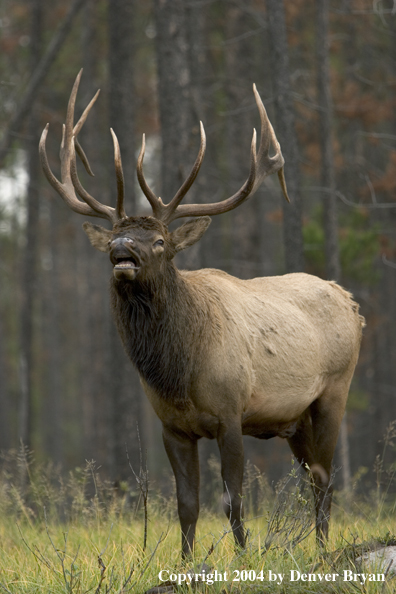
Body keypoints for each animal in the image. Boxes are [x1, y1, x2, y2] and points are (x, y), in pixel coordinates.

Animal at [41, 69, 366, 556]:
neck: (178, 374)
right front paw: (185, 562)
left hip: (334, 390)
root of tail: (350, 301)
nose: (121, 251)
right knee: (314, 476)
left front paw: (244, 557)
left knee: (325, 479)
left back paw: (324, 551)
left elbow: (233, 501)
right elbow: (187, 505)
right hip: (294, 420)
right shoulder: (172, 427)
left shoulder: (231, 413)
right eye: (115, 237)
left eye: (159, 241)